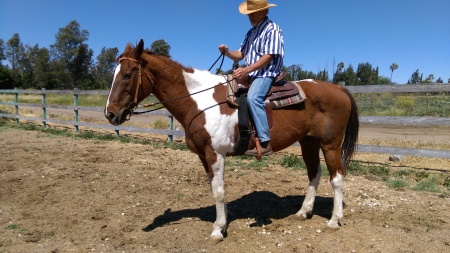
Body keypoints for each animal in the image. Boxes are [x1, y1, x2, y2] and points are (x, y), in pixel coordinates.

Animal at [104, 39, 358, 241]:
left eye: (127, 75)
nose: (110, 114)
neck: (200, 102)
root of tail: (338, 89)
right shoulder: (205, 156)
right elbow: (215, 188)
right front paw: (223, 222)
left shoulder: (215, 154)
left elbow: (218, 191)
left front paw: (218, 230)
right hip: (308, 142)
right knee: (314, 174)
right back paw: (303, 212)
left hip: (330, 145)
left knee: (337, 178)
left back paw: (334, 220)